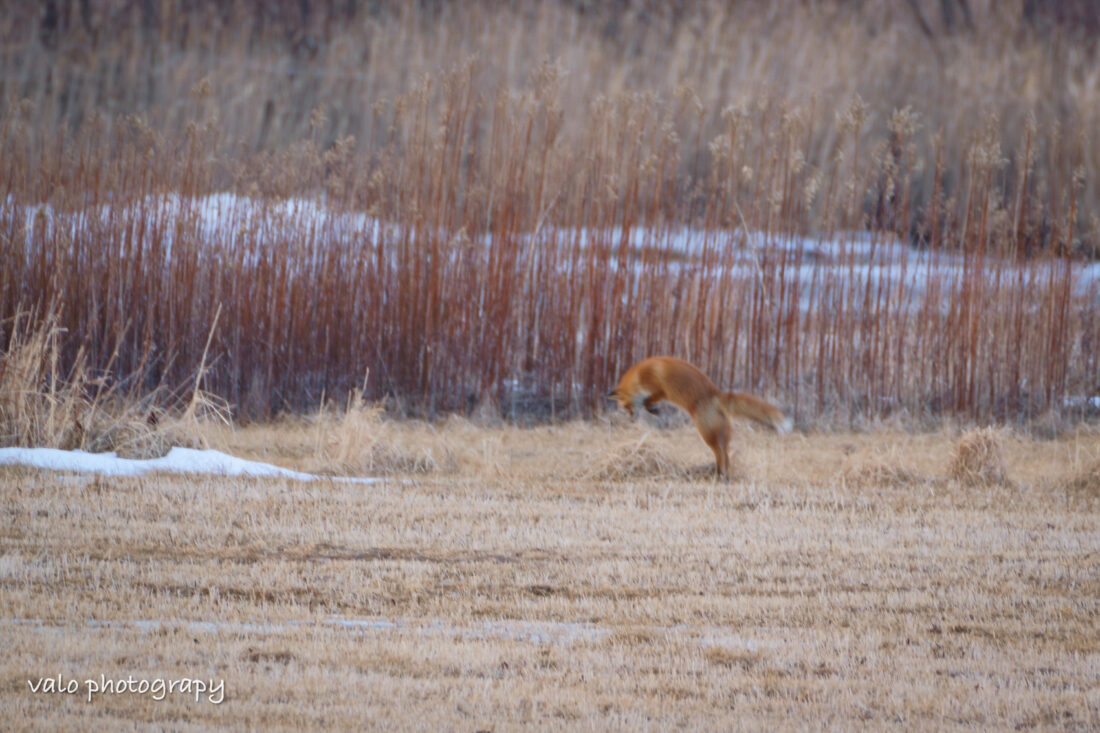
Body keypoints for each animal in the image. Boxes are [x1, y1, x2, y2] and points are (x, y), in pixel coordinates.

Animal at [611, 354, 792, 479]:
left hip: (707, 433)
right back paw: (722, 474)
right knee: (725, 454)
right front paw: (652, 410)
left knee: (720, 453)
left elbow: (649, 399)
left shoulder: (659, 389)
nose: (631, 420)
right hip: (721, 435)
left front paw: (653, 409)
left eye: (627, 407)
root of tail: (717, 396)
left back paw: (722, 475)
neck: (639, 375)